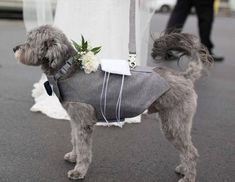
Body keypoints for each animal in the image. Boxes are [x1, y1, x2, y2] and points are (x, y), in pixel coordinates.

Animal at [13, 24, 212, 181]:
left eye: (30, 42)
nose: (15, 48)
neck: (68, 70)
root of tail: (185, 77)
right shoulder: (75, 120)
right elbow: (75, 140)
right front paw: (74, 156)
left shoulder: (83, 122)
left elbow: (84, 148)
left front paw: (79, 170)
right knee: (187, 149)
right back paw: (184, 169)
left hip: (173, 124)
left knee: (191, 152)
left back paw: (188, 177)